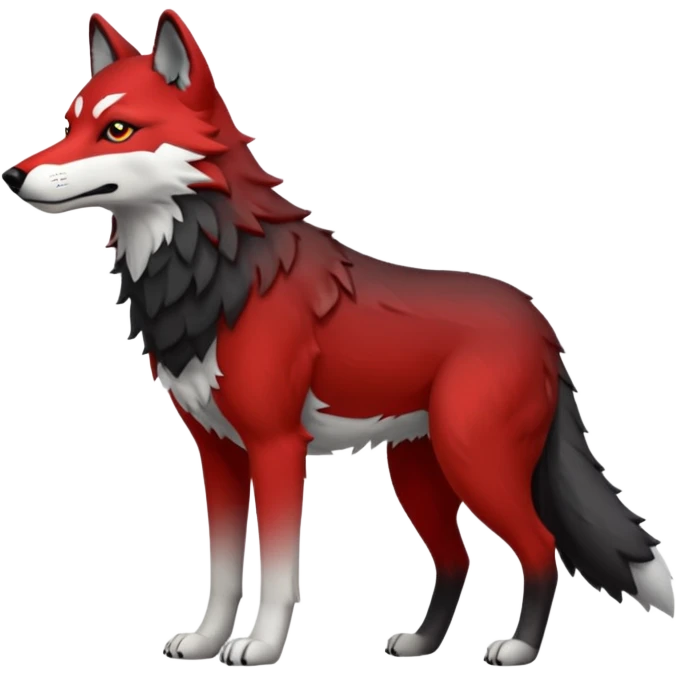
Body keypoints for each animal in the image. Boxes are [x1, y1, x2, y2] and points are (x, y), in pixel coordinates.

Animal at [2, 9, 673, 668]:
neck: (216, 281)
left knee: (541, 547)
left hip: (475, 462)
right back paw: (421, 644)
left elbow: (278, 571)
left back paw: (518, 648)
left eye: (118, 130)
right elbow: (223, 570)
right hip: (418, 475)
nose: (13, 174)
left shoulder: (276, 448)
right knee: (456, 559)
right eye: (70, 124)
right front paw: (205, 642)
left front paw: (261, 647)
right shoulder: (218, 454)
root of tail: (542, 326)